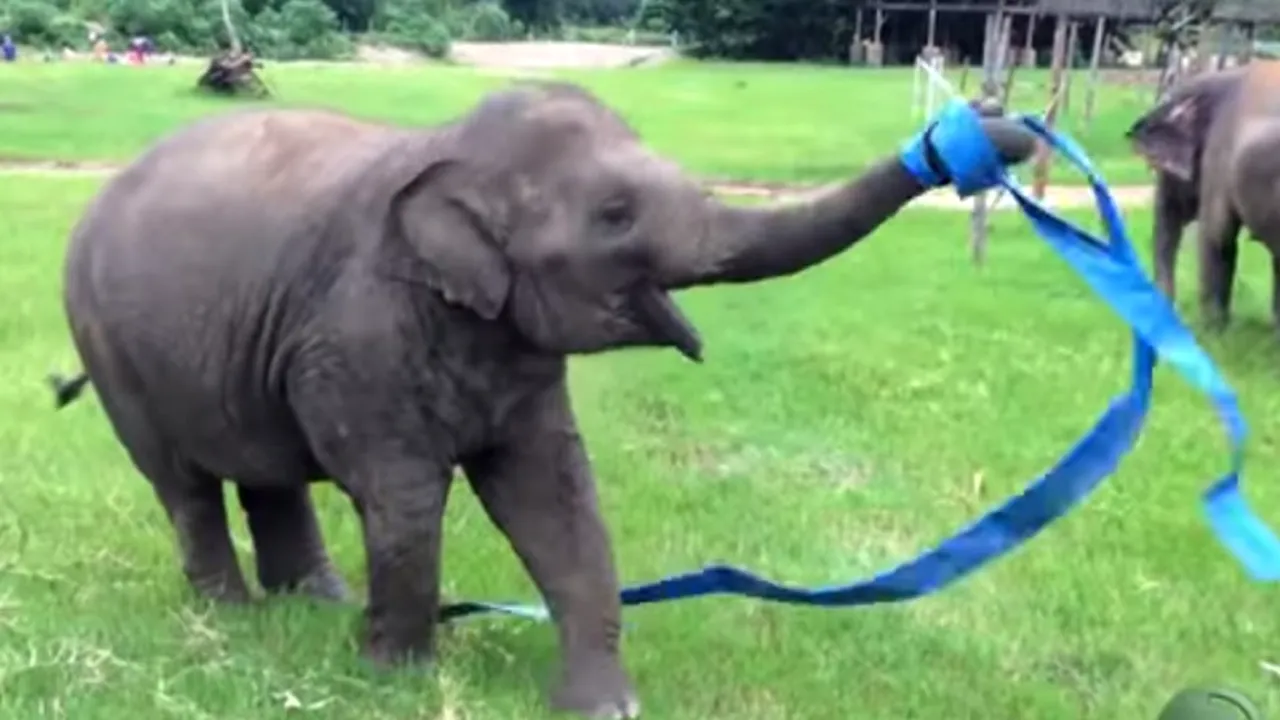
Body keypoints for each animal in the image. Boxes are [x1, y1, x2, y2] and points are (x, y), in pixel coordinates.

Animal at [50, 82, 1036, 718]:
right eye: (614, 215)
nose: (988, 128)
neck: (446, 150)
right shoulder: (358, 332)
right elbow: (406, 495)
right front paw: (393, 682)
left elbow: (553, 493)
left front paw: (602, 710)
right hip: (107, 336)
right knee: (183, 482)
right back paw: (234, 616)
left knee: (267, 471)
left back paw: (317, 606)